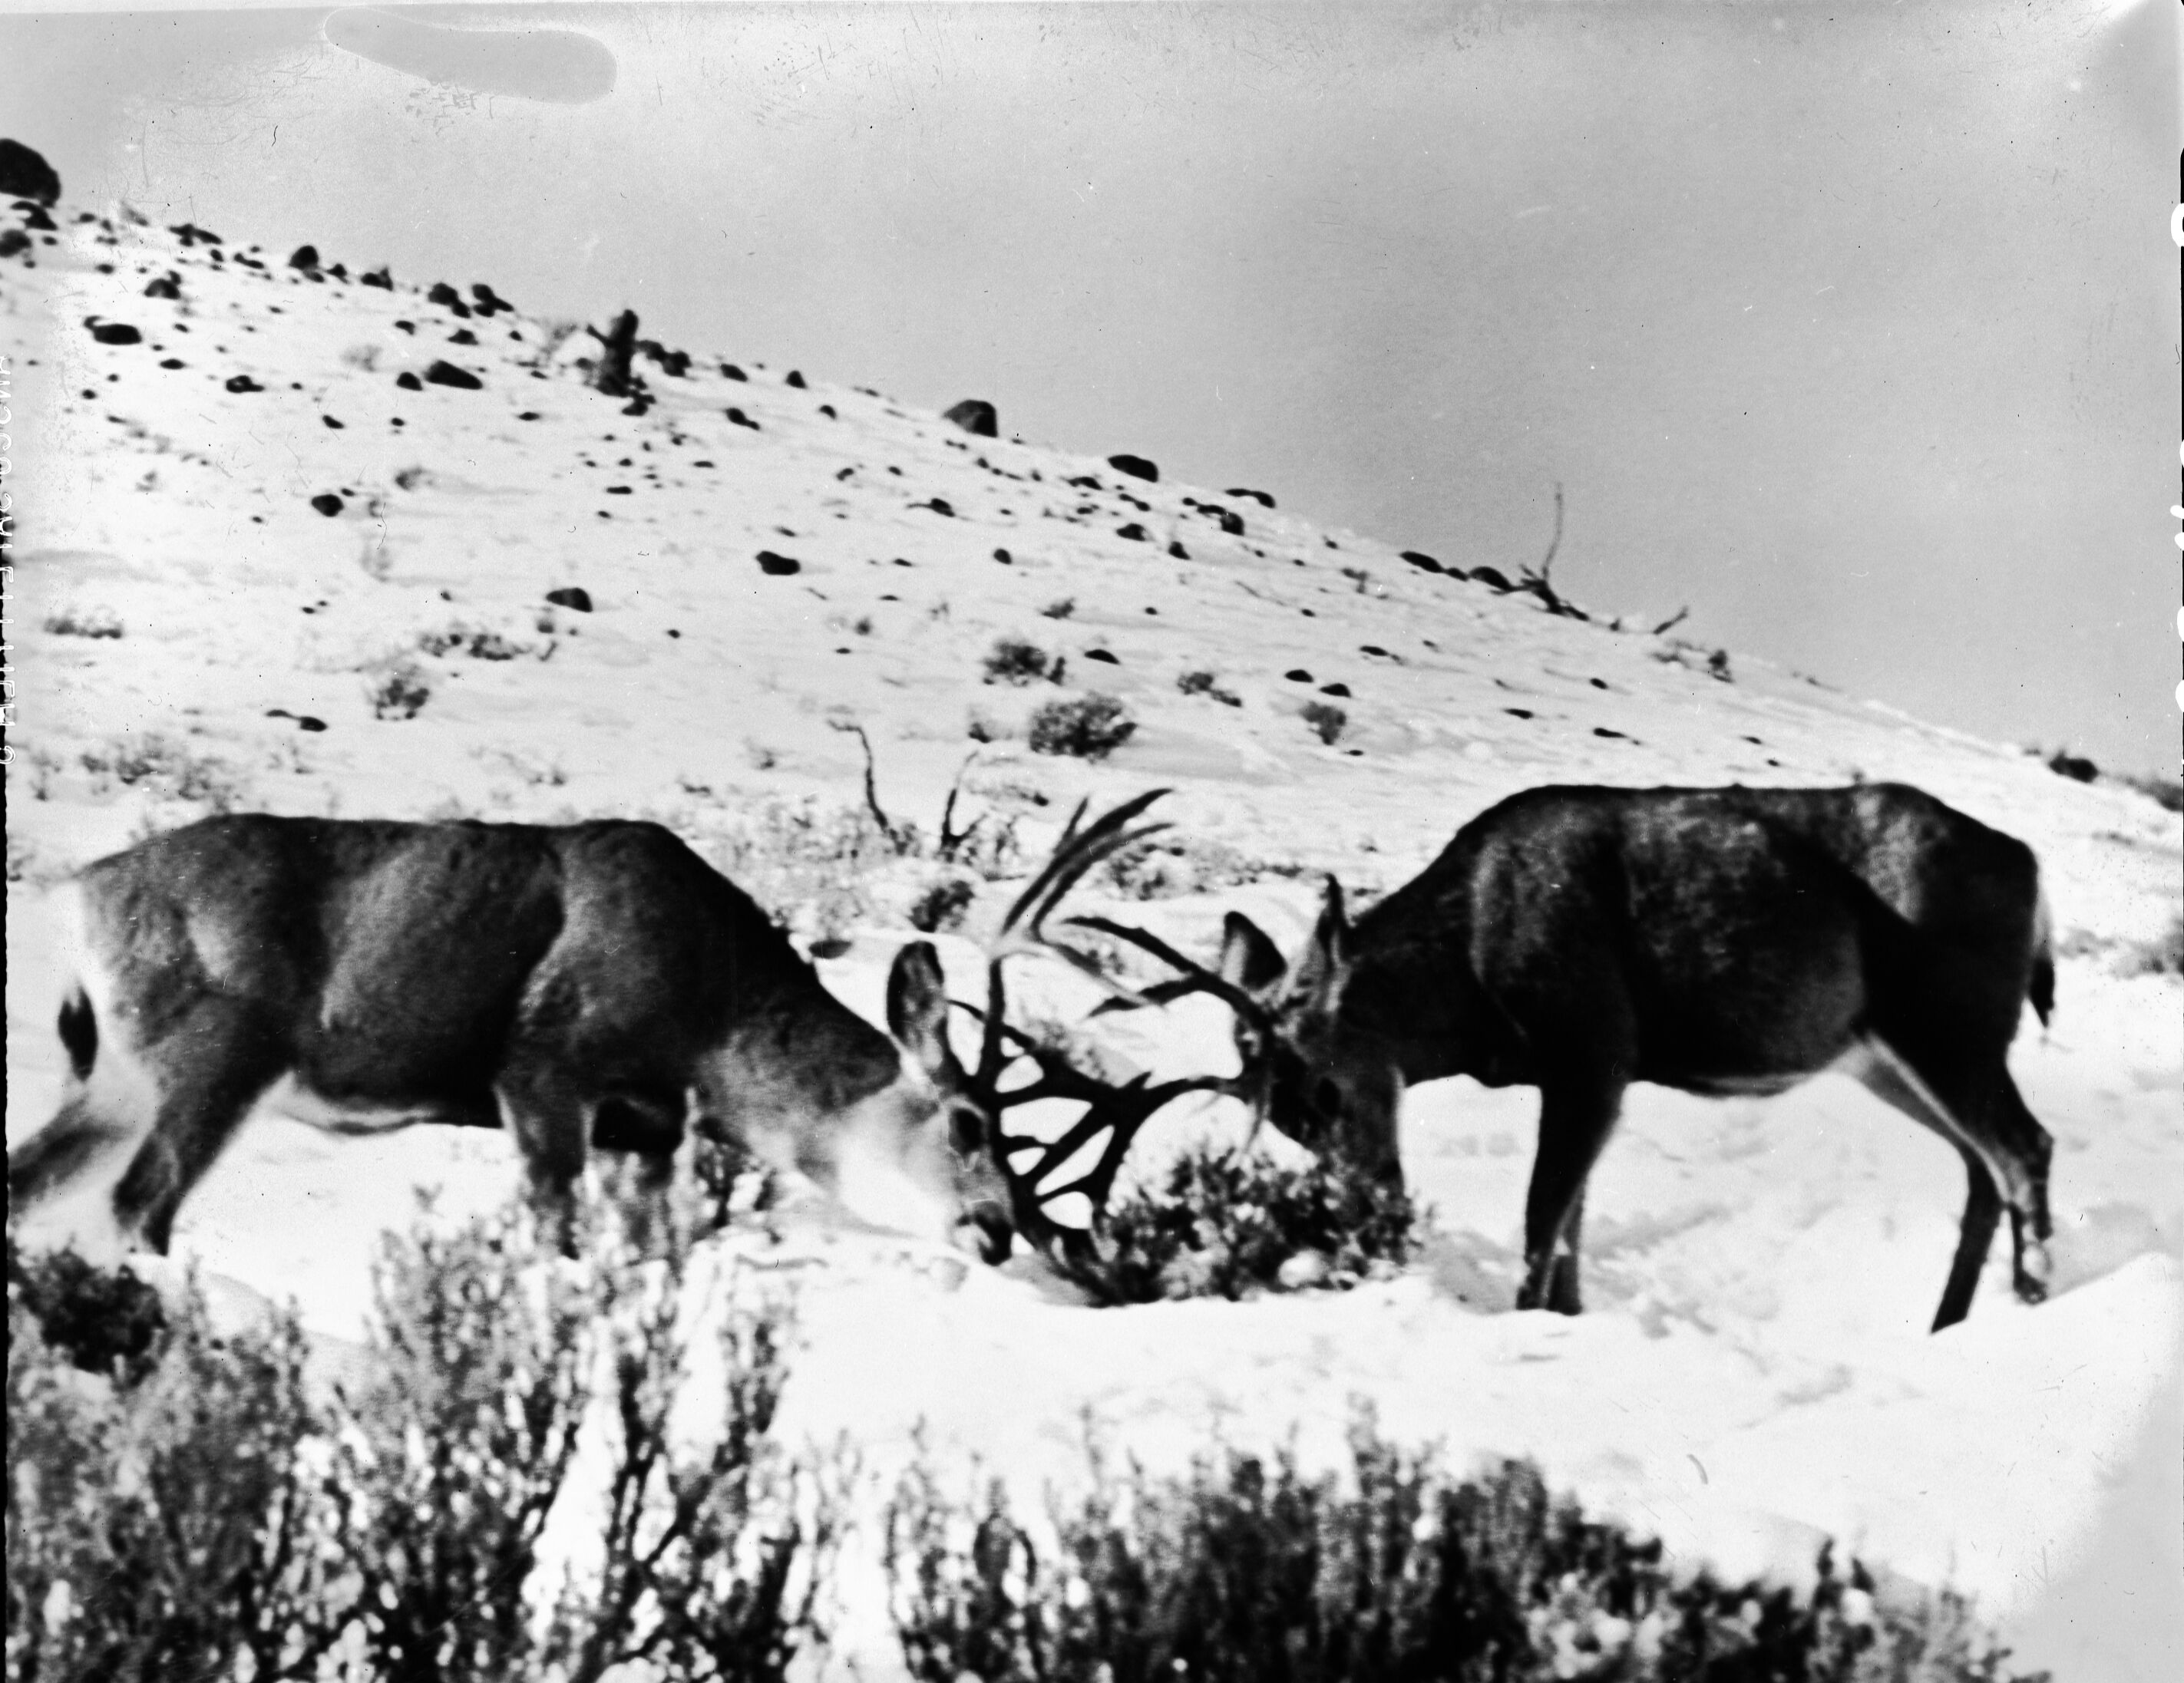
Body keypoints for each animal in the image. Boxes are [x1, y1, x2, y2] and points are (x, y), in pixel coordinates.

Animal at [8, 814, 1016, 1262]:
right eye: (969, 1124)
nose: (999, 1231)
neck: (711, 1025)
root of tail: (78, 894)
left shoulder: (646, 1128)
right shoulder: (546, 1061)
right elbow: (553, 1230)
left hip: (115, 1075)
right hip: (219, 1046)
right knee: (138, 1206)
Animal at [1082, 783, 2058, 1332]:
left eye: (1324, 1088)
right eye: (1282, 1121)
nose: (1371, 1209)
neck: (1468, 978)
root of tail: (2029, 864)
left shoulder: (1592, 1042)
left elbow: (1540, 1218)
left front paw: (1525, 1329)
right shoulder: (1585, 1070)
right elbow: (1572, 1228)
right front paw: (1568, 1322)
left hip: (1946, 1018)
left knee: (2023, 1147)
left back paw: (2030, 1303)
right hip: (1886, 1055)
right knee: (1983, 1166)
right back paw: (1951, 1326)